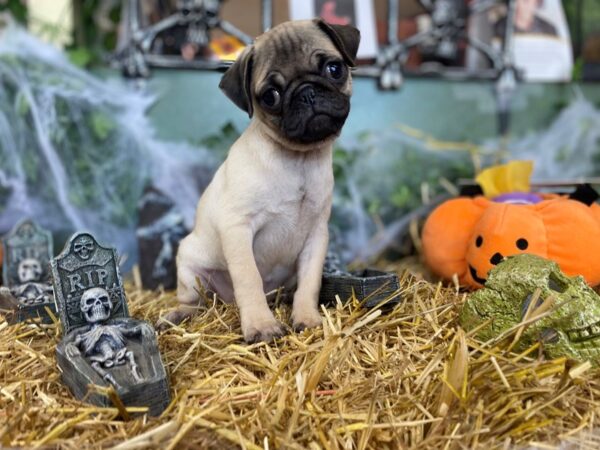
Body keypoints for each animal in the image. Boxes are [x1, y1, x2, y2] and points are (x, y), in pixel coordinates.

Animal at [162, 16, 360, 342]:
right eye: (270, 96)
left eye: (334, 69)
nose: (307, 92)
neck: (297, 161)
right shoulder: (237, 227)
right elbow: (249, 278)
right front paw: (260, 325)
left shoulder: (317, 235)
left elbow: (310, 282)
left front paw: (306, 317)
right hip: (190, 264)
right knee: (193, 301)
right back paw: (179, 315)